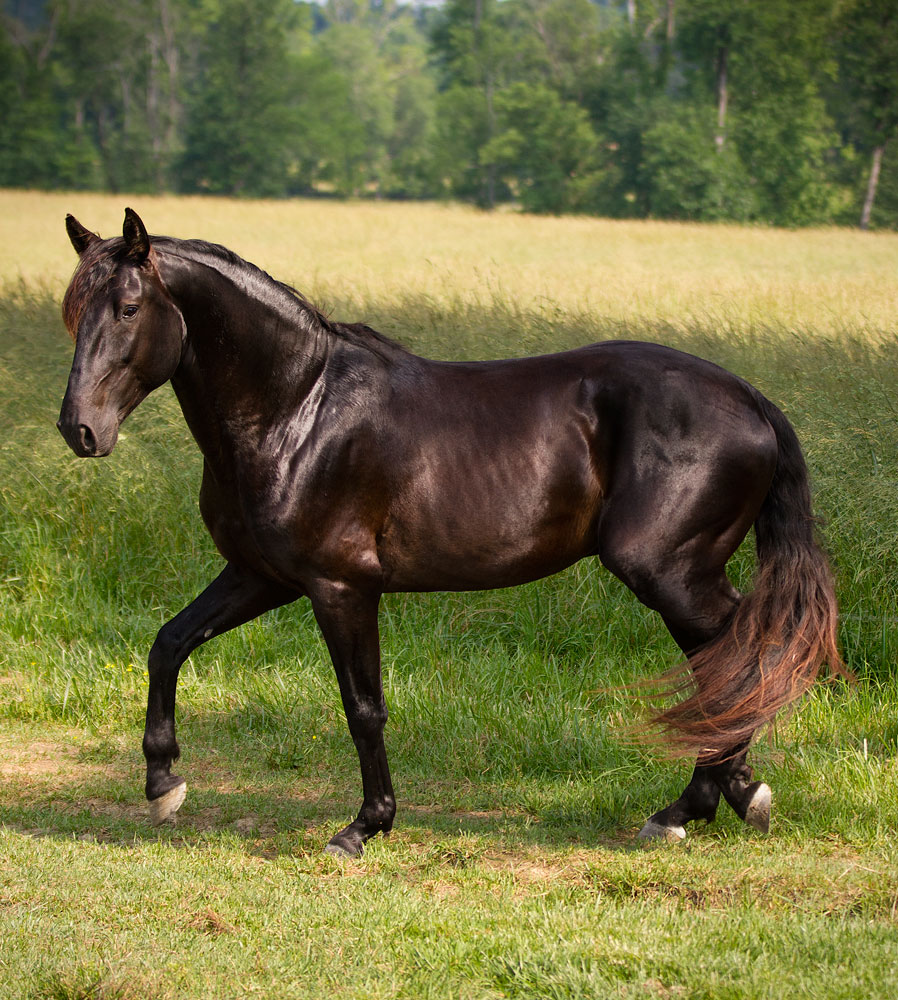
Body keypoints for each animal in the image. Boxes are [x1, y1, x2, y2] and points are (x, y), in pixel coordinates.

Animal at [56, 207, 840, 856]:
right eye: (75, 313)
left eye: (128, 307)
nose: (79, 430)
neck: (298, 410)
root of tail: (749, 399)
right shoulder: (263, 576)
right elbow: (169, 643)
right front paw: (163, 785)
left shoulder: (340, 587)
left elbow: (363, 708)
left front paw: (364, 826)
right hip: (683, 576)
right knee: (728, 665)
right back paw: (710, 802)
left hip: (671, 572)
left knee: (741, 656)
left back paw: (707, 802)